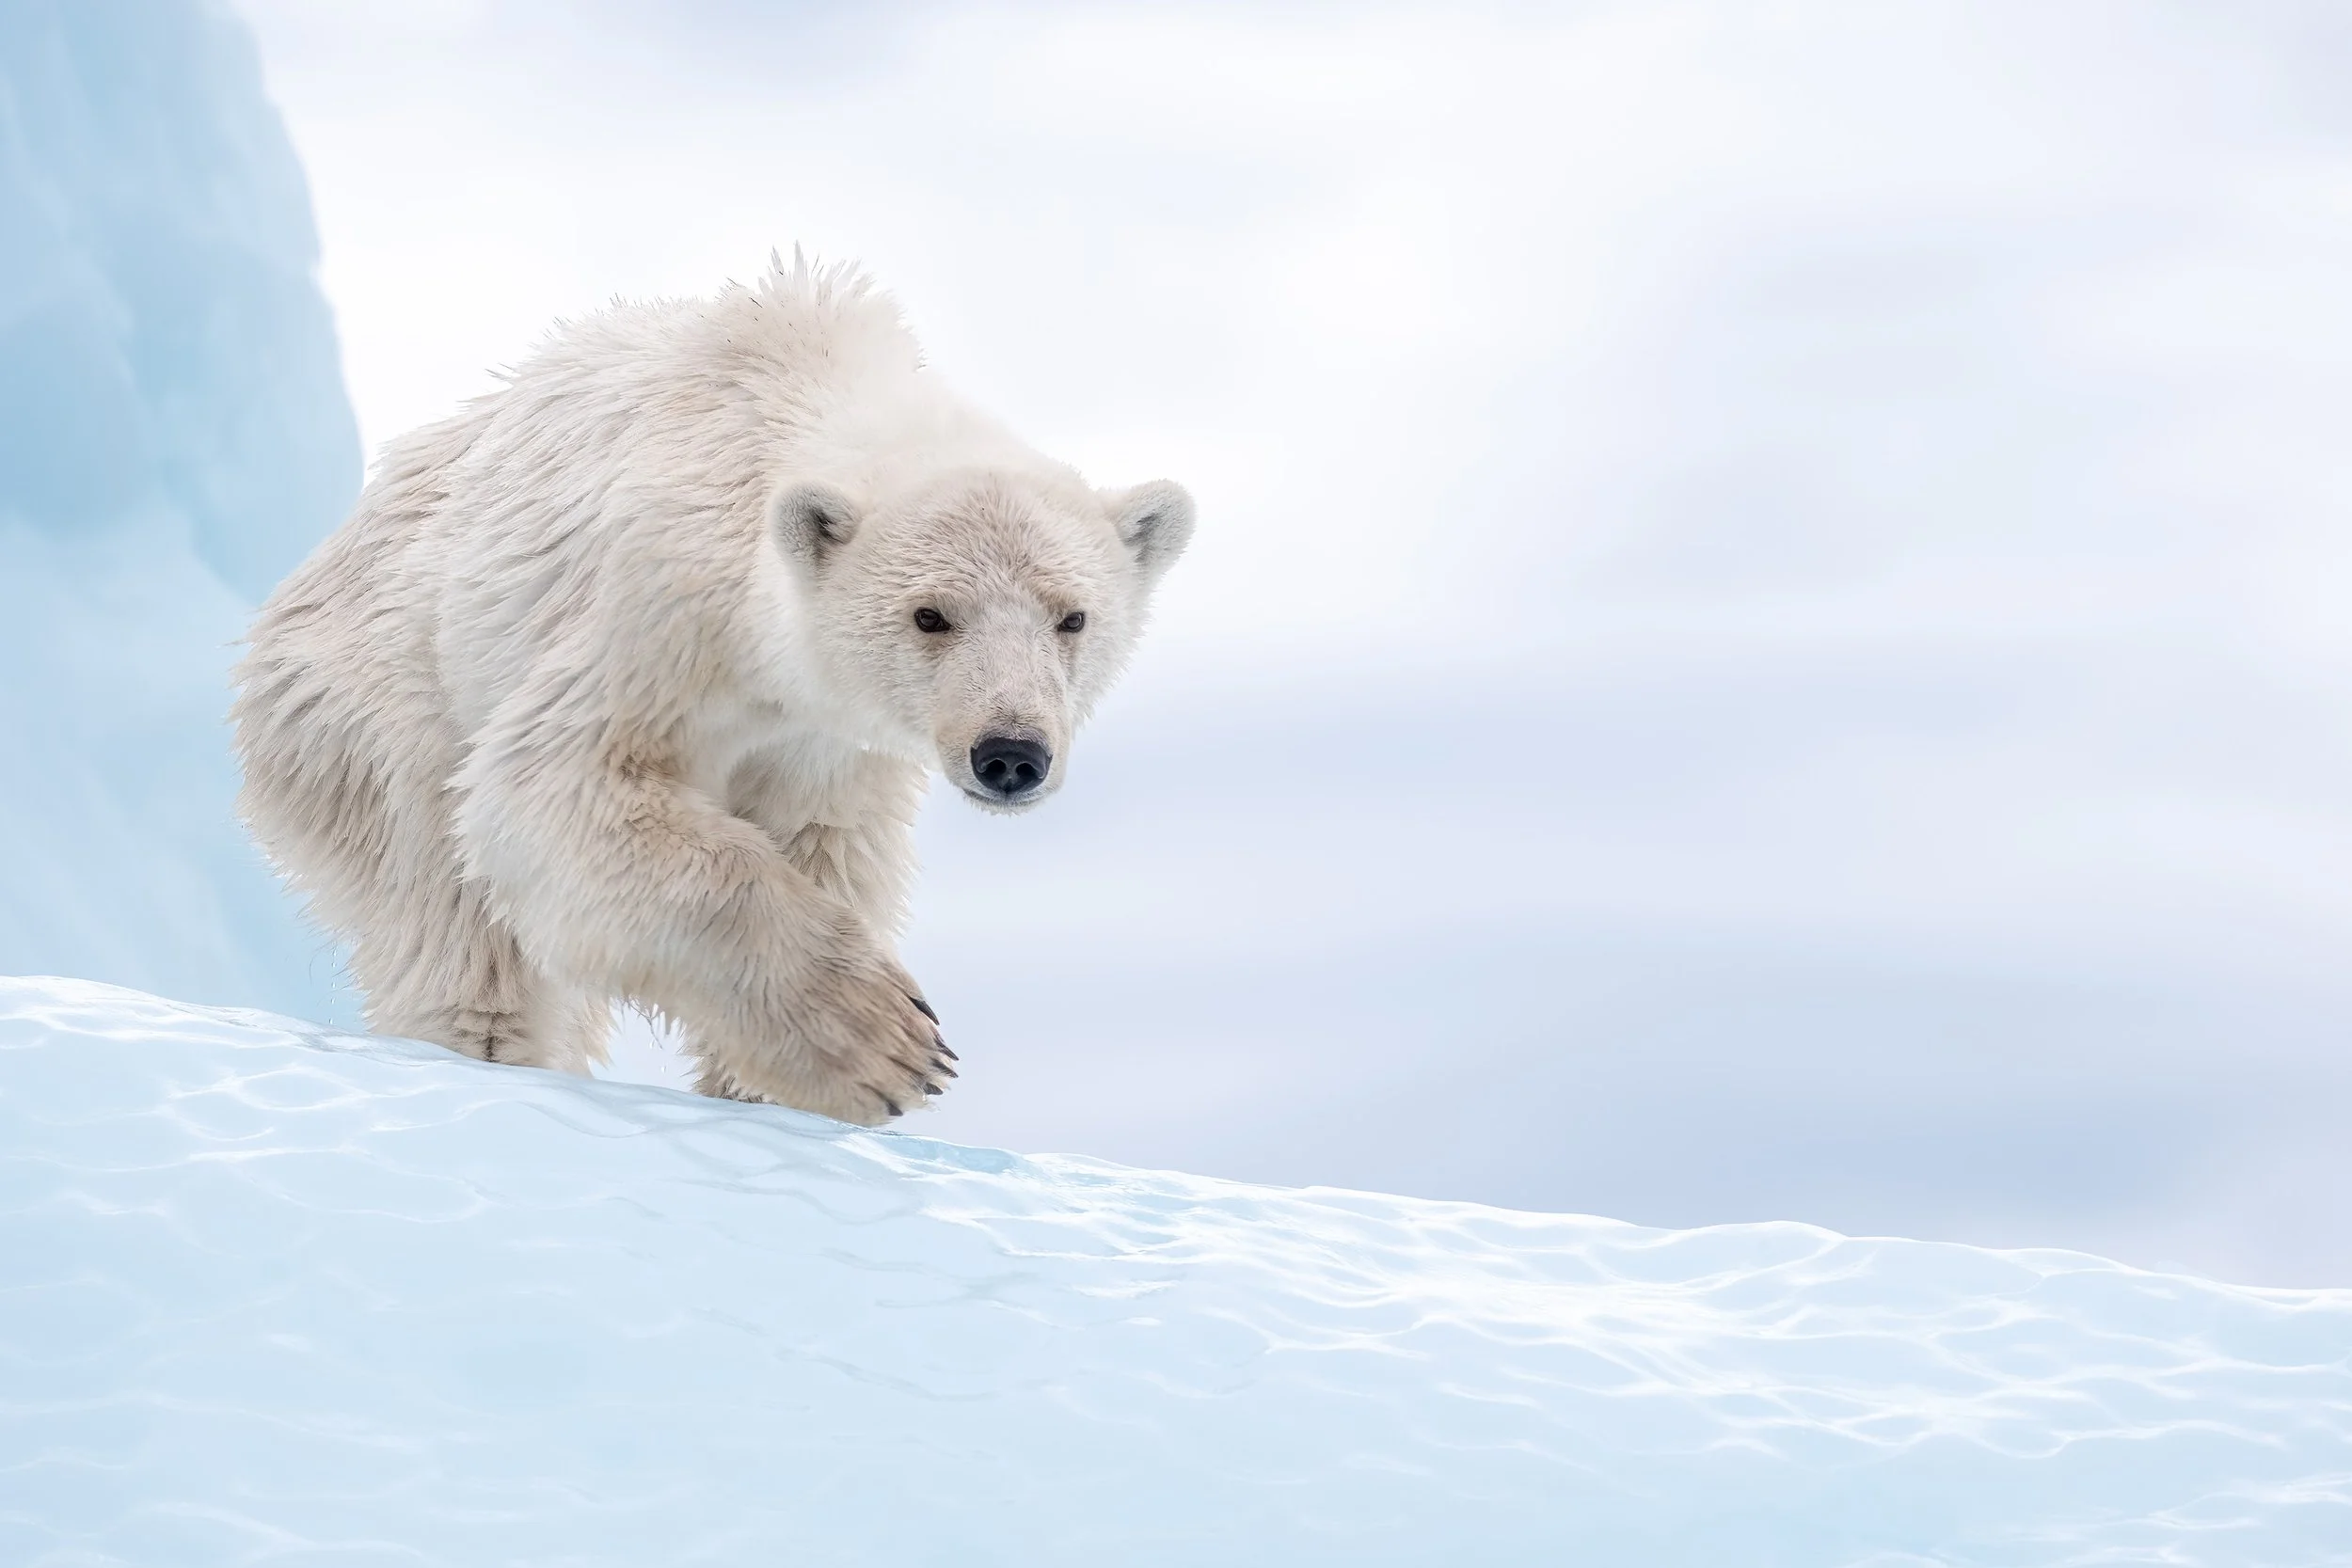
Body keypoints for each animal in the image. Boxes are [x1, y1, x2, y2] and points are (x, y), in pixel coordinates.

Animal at [231, 255, 1193, 1125]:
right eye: (930, 615)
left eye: (1072, 617)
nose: (1011, 754)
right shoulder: (657, 606)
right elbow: (550, 789)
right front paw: (886, 1044)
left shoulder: (826, 739)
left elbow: (826, 842)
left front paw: (760, 1087)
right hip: (375, 709)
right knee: (458, 922)